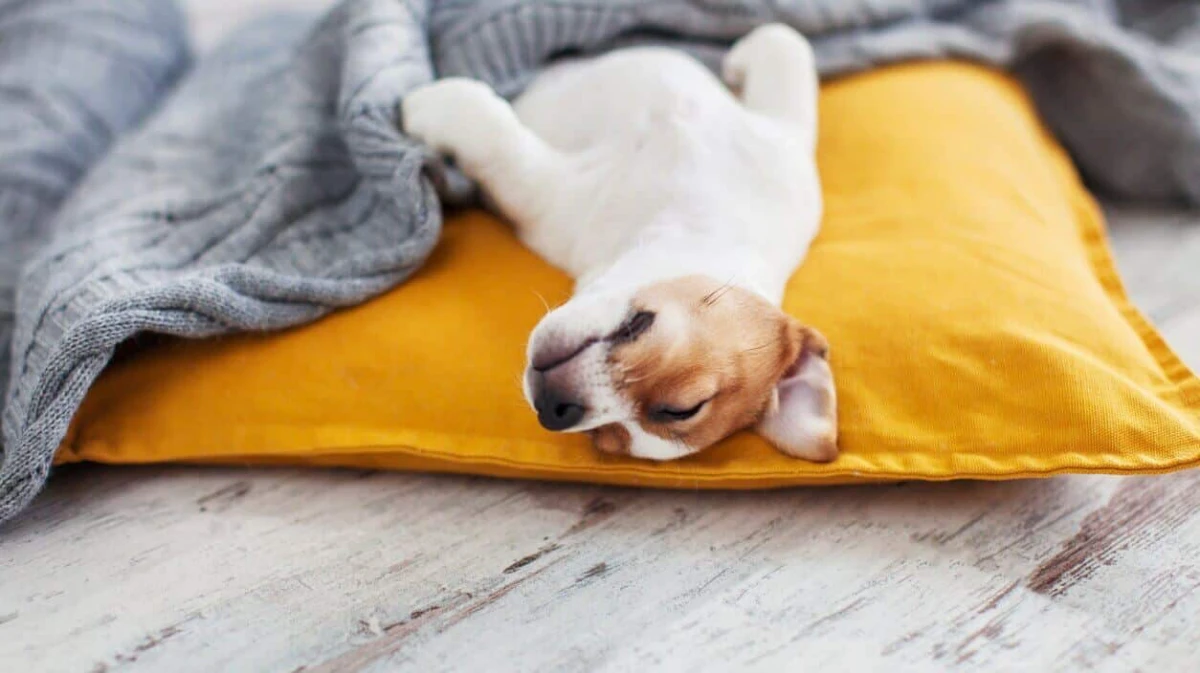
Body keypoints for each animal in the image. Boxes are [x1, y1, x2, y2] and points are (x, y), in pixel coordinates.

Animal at [403, 22, 835, 460]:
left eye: (601, 437)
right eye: (684, 408)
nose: (555, 409)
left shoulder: (549, 196)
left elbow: (498, 143)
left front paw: (433, 105)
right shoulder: (783, 145)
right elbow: (786, 45)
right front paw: (743, 56)